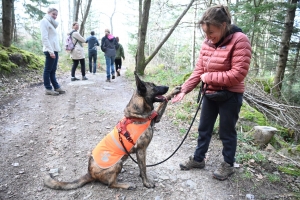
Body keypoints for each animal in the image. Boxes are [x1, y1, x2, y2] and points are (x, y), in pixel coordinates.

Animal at [44, 72, 180, 191]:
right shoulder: (141, 150)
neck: (136, 115)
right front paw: (146, 182)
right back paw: (126, 185)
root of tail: (90, 173)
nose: (168, 86)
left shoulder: (156, 118)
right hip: (117, 163)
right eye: (153, 86)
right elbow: (144, 168)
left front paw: (175, 91)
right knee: (110, 184)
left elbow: (164, 101)